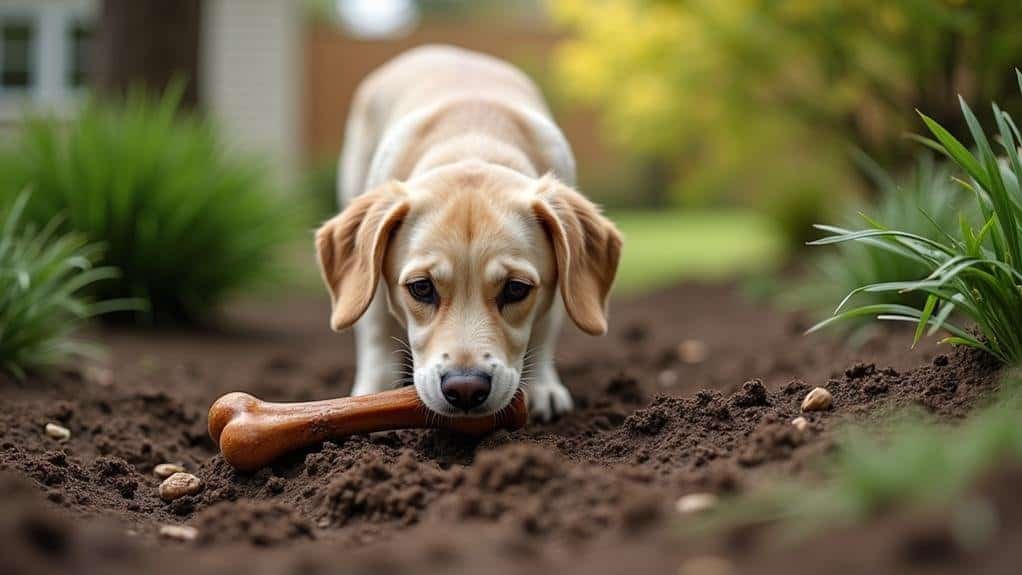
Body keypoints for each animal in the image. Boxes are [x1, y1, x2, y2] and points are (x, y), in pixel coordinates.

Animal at [314, 46, 621, 422]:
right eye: (421, 288)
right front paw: (373, 393)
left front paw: (542, 388)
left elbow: (544, 330)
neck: (473, 138)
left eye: (516, 289)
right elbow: (376, 336)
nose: (465, 389)